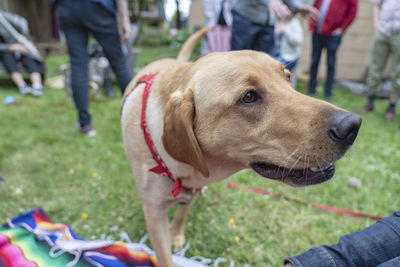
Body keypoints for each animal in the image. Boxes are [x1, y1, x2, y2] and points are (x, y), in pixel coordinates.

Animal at [120, 28, 360, 266]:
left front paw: (177, 235)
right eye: (249, 96)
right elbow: (165, 255)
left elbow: (181, 214)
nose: (352, 125)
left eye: (288, 77)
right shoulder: (154, 214)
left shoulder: (193, 188)